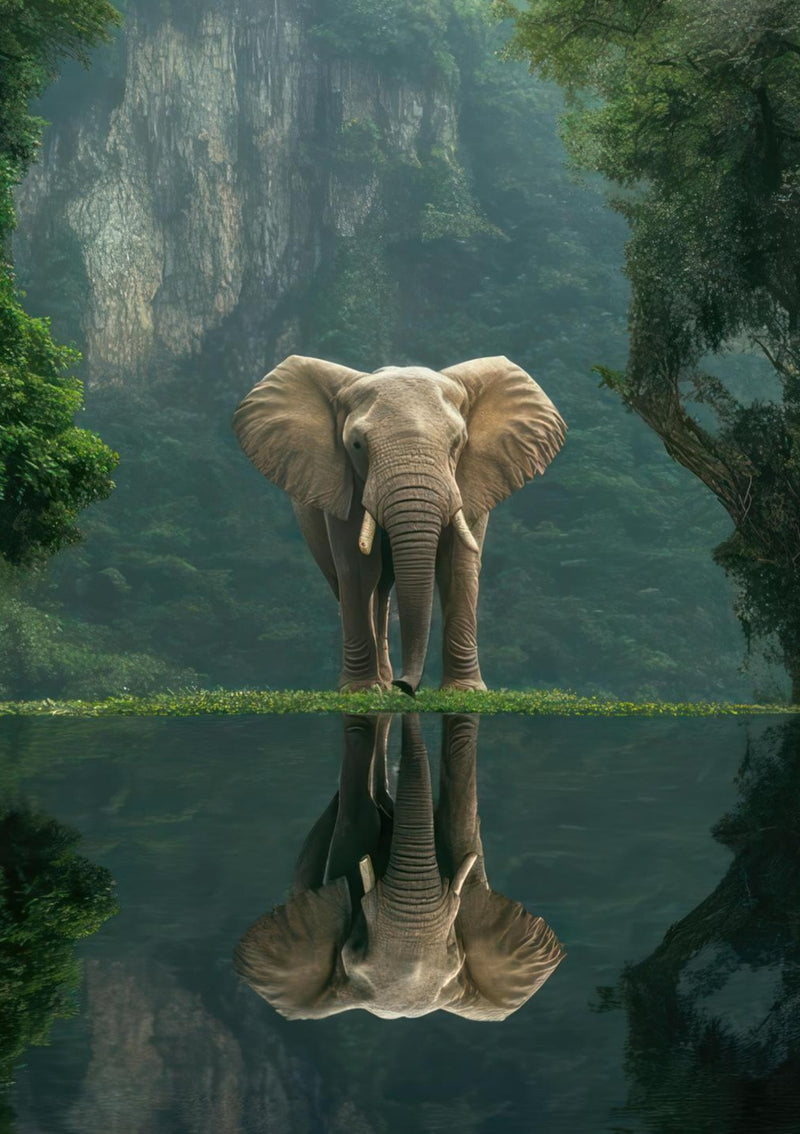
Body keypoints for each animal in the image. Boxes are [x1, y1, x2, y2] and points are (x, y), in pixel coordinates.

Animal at [233, 355, 566, 693]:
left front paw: (465, 691)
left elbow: (458, 565)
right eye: (356, 445)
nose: (406, 686)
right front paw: (360, 691)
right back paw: (379, 684)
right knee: (359, 583)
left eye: (458, 443)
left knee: (383, 589)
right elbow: (357, 568)